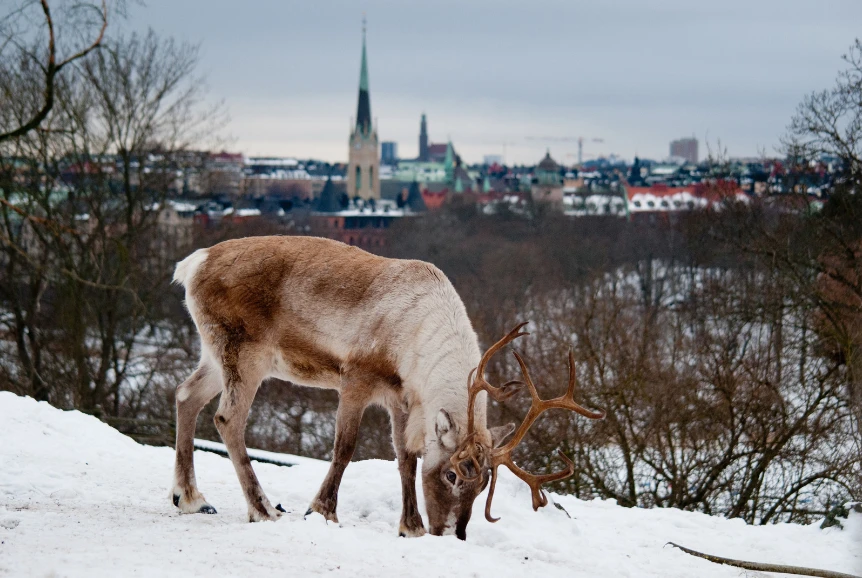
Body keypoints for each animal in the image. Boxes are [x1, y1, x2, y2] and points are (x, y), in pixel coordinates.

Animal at [170, 235, 604, 540]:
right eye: (453, 475)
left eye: (483, 484)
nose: (454, 533)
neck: (416, 338)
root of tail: (190, 265)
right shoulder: (356, 376)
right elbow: (345, 447)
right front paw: (321, 511)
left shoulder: (401, 396)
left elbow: (406, 456)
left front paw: (410, 526)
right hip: (245, 352)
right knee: (228, 418)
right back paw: (263, 509)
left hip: (215, 354)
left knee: (185, 395)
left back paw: (191, 498)